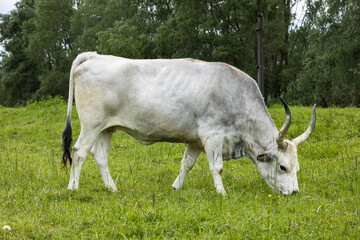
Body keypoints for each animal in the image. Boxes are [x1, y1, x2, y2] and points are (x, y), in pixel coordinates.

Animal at [62, 52, 316, 195]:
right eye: (282, 167)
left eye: (297, 168)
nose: (294, 192)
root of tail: (95, 56)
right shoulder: (213, 136)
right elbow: (217, 167)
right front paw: (222, 193)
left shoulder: (195, 141)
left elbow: (187, 164)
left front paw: (176, 187)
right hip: (91, 125)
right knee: (79, 152)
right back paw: (72, 188)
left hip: (106, 129)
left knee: (99, 157)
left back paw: (112, 189)